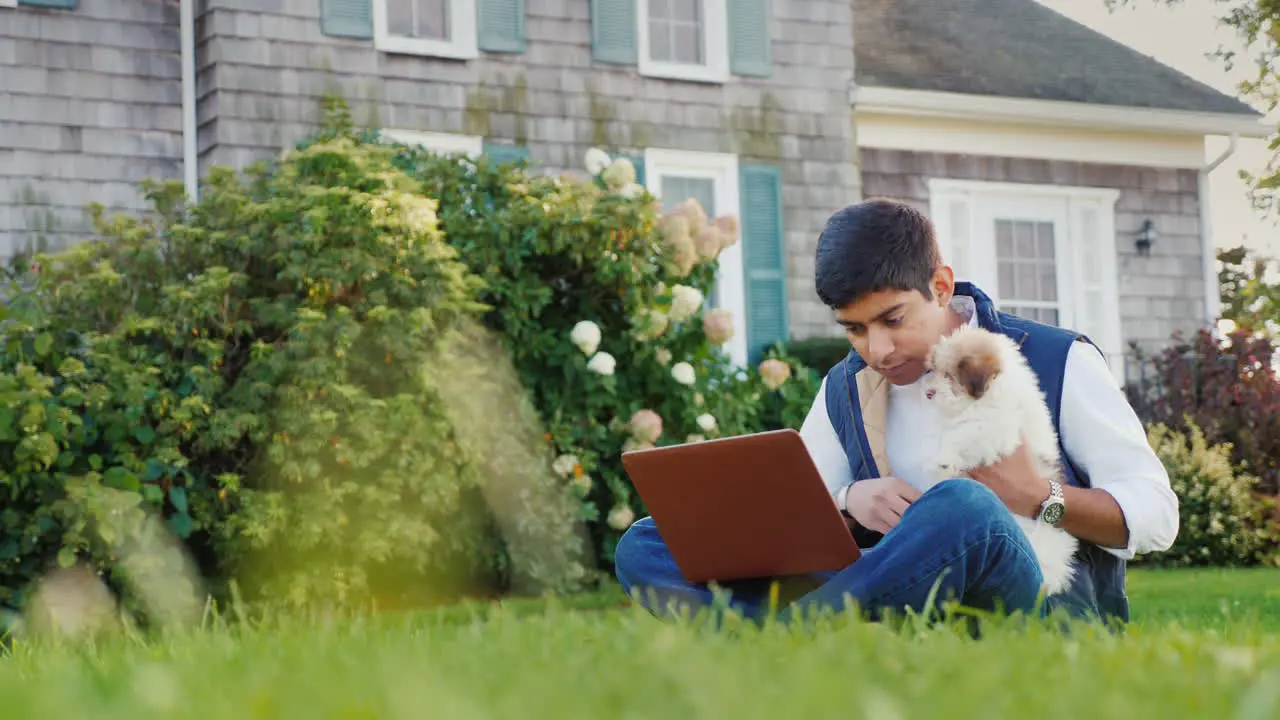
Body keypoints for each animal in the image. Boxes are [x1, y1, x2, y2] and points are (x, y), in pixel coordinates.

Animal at [921, 325, 1080, 594]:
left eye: (950, 376)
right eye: (935, 371)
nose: (929, 393)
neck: (987, 395)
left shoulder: (997, 430)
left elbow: (963, 433)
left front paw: (943, 459)